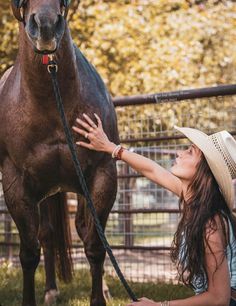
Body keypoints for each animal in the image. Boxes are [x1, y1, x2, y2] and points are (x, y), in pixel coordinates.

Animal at [0, 1, 120, 304]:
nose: (45, 25)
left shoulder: (102, 176)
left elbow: (95, 245)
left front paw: (98, 298)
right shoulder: (16, 186)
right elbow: (29, 253)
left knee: (83, 230)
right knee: (47, 235)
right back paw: (51, 291)